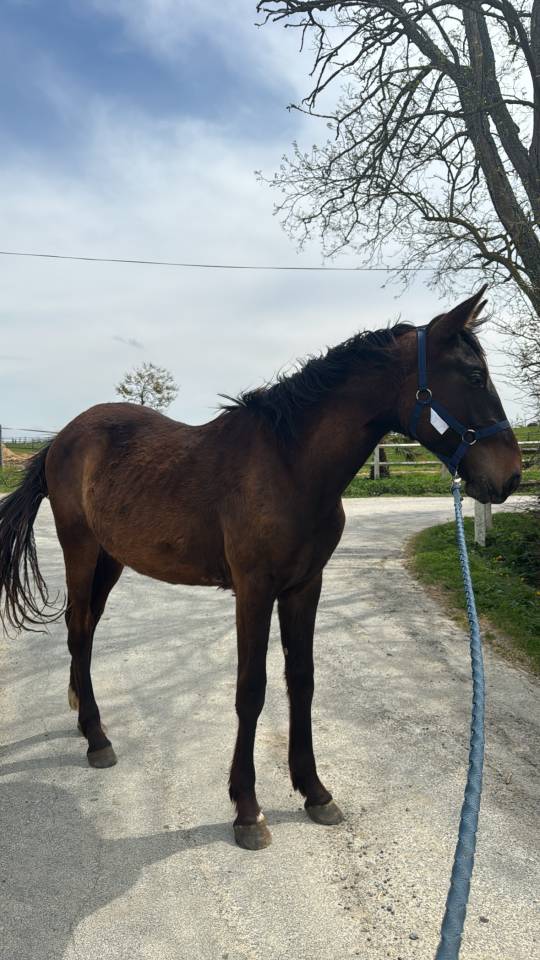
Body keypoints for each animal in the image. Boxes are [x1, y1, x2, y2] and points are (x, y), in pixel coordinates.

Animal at [0, 288, 521, 850]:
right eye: (474, 375)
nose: (511, 476)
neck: (291, 465)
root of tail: (62, 437)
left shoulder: (304, 587)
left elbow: (302, 681)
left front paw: (314, 791)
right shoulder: (253, 591)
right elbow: (251, 689)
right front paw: (247, 809)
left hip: (110, 559)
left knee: (87, 629)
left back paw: (83, 718)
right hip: (80, 549)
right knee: (78, 629)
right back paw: (97, 738)